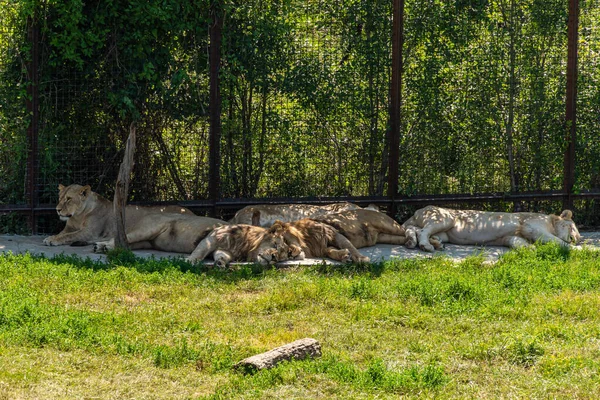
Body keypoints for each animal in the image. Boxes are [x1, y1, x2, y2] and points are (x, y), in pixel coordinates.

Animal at [43, 184, 191, 247]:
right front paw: (51, 237)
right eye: (60, 198)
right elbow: (62, 234)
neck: (77, 217)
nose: (57, 209)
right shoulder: (69, 228)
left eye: (68, 199)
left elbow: (69, 236)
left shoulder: (89, 232)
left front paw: (52, 240)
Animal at [268, 209, 406, 262]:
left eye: (284, 240)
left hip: (387, 225)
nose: (289, 254)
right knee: (402, 239)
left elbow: (350, 246)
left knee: (405, 230)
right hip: (385, 236)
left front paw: (361, 259)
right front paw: (344, 256)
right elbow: (331, 251)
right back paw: (409, 242)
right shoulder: (323, 246)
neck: (306, 241)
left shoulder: (333, 234)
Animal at [404, 205, 580, 252]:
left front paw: (529, 249)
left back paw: (427, 243)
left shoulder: (513, 236)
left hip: (444, 232)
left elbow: (517, 242)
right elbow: (557, 240)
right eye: (573, 228)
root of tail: (417, 211)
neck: (551, 222)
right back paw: (426, 246)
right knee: (423, 231)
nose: (576, 239)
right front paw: (578, 249)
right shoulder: (531, 226)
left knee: (415, 230)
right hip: (446, 218)